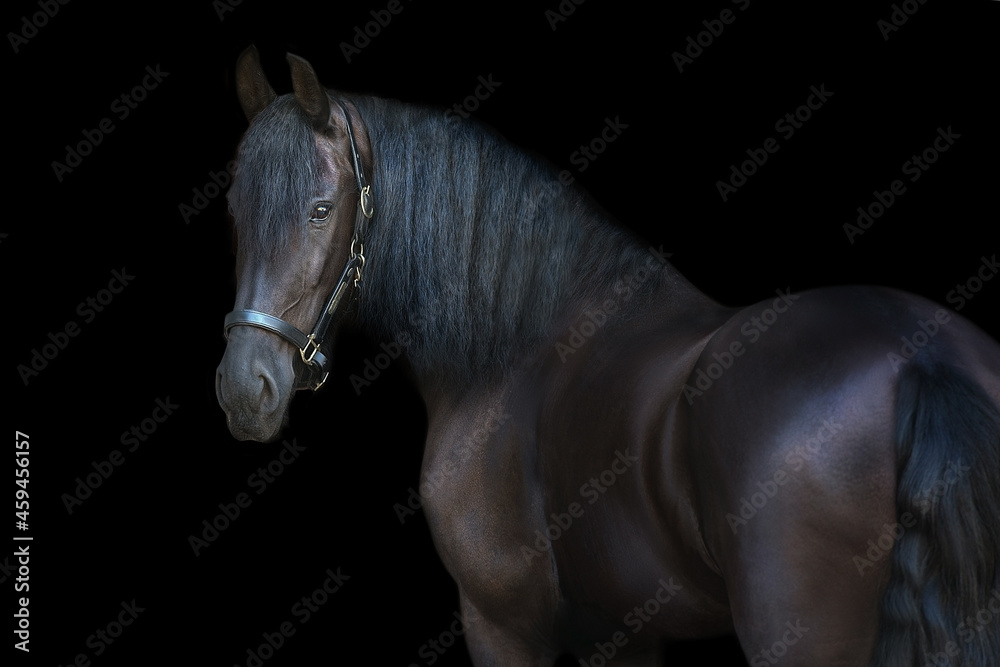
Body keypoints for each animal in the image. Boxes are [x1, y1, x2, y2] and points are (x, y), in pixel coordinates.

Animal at [215, 47, 1000, 665]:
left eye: (321, 208)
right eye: (233, 209)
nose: (245, 389)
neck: (513, 353)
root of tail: (920, 360)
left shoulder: (503, 627)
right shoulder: (625, 633)